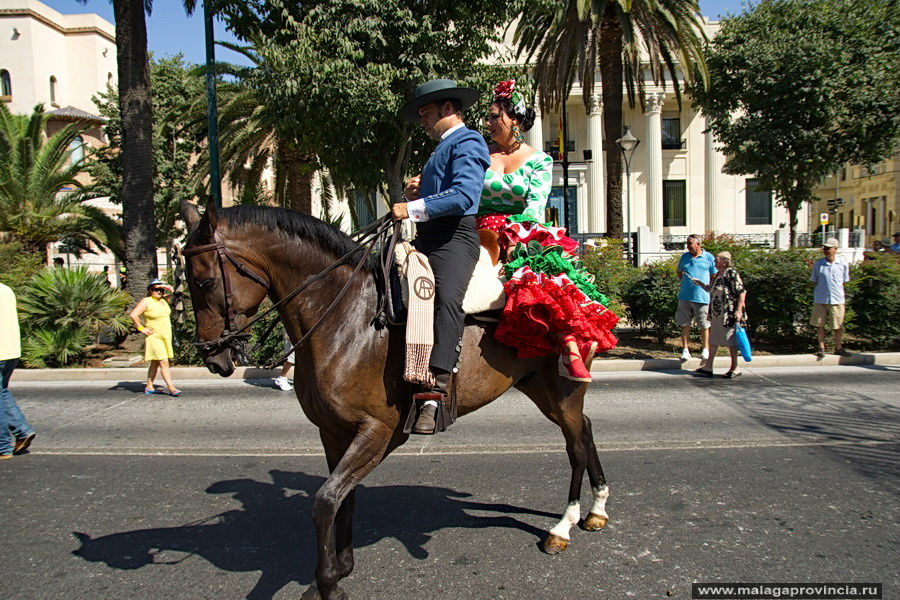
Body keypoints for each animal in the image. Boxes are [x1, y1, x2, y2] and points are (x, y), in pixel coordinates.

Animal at [179, 203, 608, 600]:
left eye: (204, 281)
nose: (212, 357)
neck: (348, 319)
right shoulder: (333, 433)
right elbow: (343, 498)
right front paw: (341, 566)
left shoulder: (378, 432)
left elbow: (325, 501)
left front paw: (328, 583)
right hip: (540, 388)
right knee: (586, 431)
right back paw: (597, 510)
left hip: (565, 388)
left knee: (575, 445)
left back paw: (563, 527)